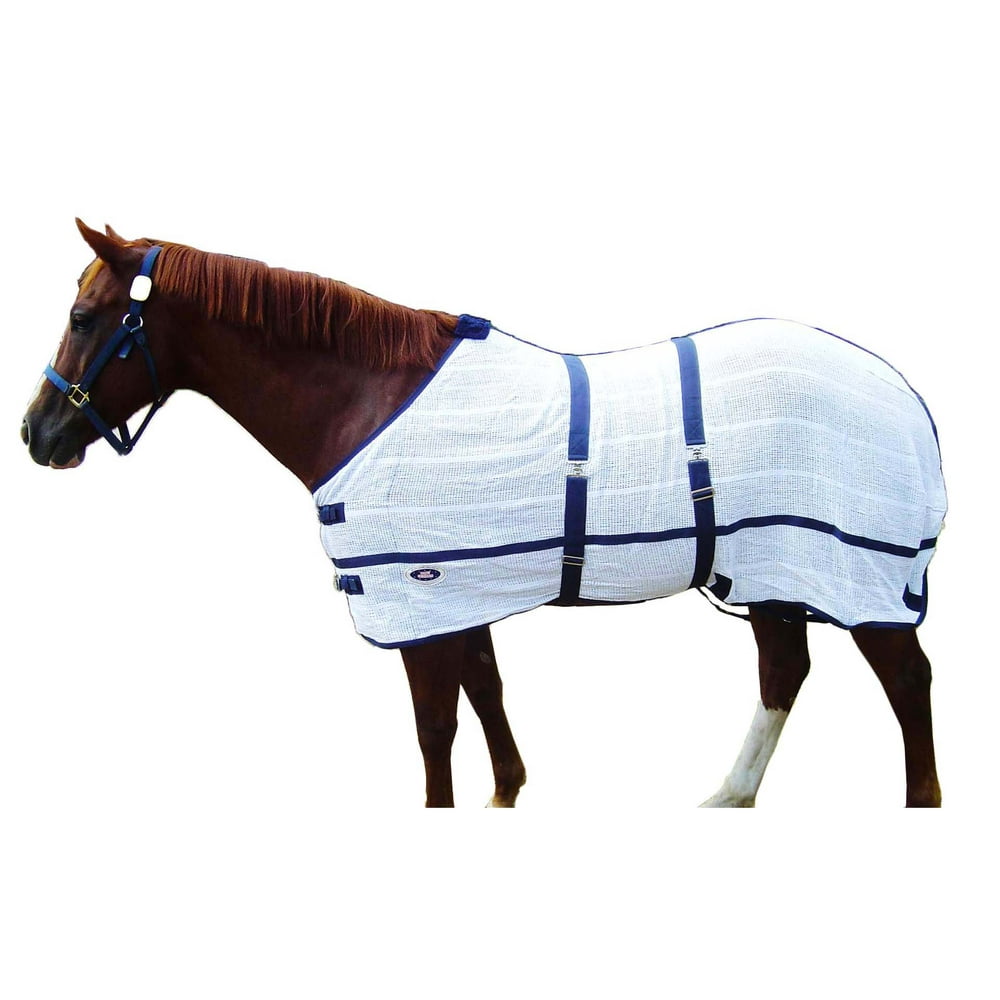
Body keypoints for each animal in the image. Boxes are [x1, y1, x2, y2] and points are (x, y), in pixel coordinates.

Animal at [21, 220, 946, 807]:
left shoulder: (414, 605)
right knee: (785, 672)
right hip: (770, 573)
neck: (368, 398)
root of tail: (908, 403)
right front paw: (509, 793)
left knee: (907, 685)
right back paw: (730, 796)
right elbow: (485, 693)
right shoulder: (454, 593)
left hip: (849, 577)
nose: (37, 434)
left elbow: (436, 730)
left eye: (82, 317)